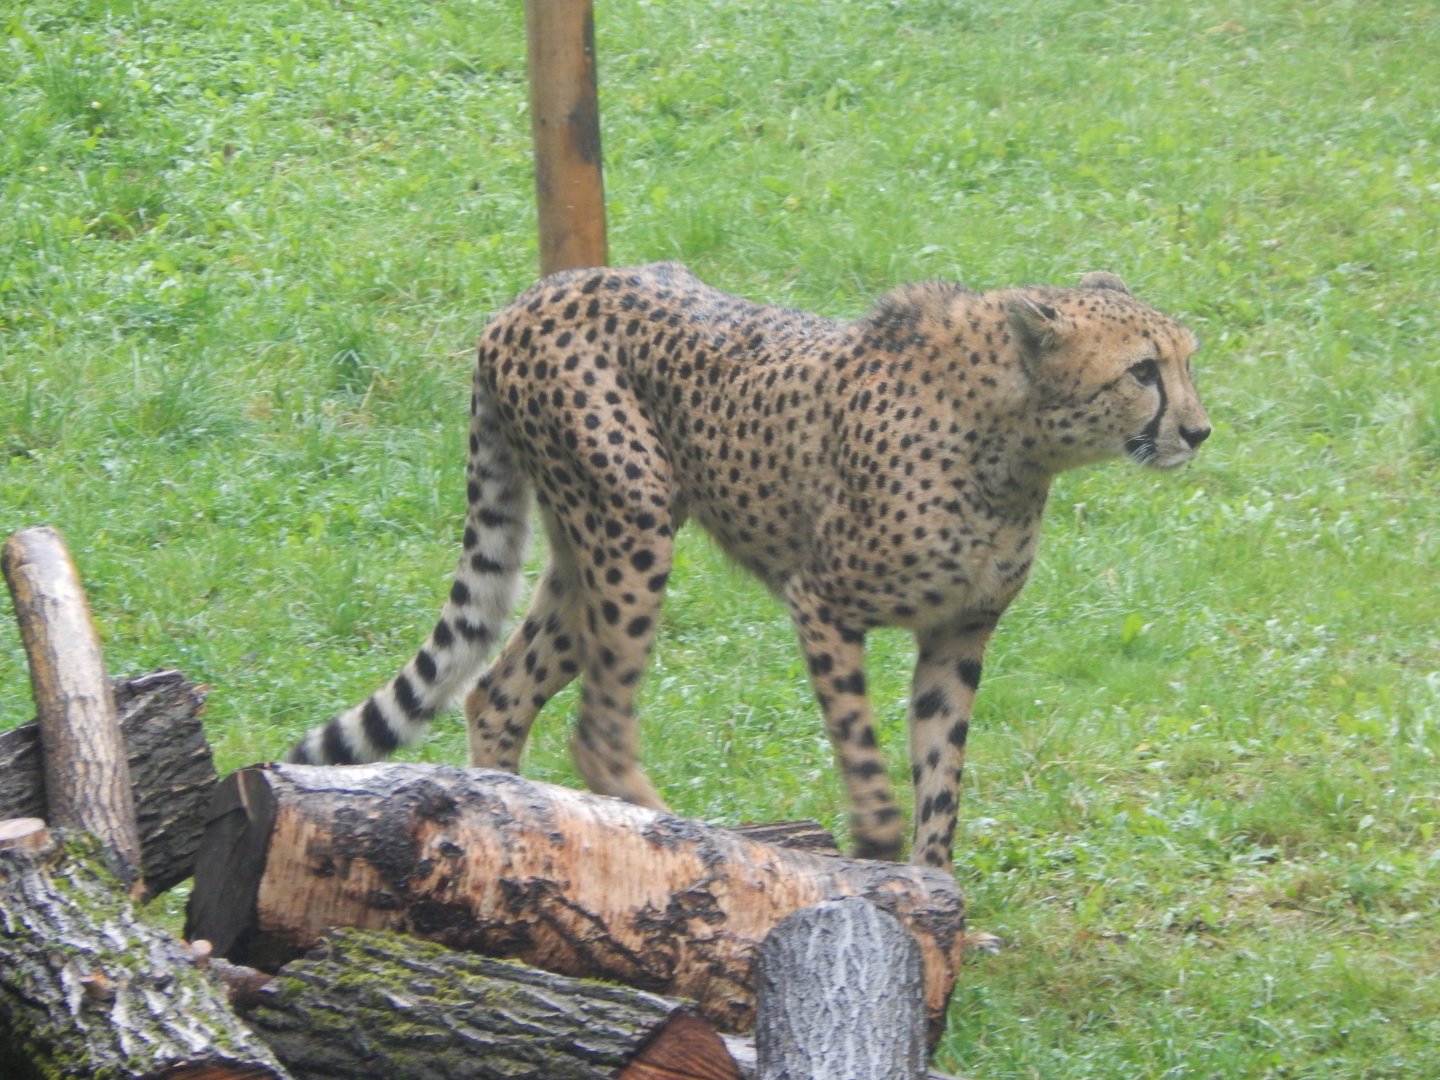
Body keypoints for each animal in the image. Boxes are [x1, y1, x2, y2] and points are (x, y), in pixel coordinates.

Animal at [287, 261, 1210, 869]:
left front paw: (937, 897)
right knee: (599, 725)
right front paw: (876, 855)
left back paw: (515, 828)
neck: (1014, 445)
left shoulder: (960, 632)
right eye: (1142, 370)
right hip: (633, 523)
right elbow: (864, 749)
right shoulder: (822, 601)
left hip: (590, 538)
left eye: (1188, 360)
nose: (1197, 432)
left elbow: (941, 778)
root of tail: (533, 294)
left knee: (501, 687)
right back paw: (682, 842)